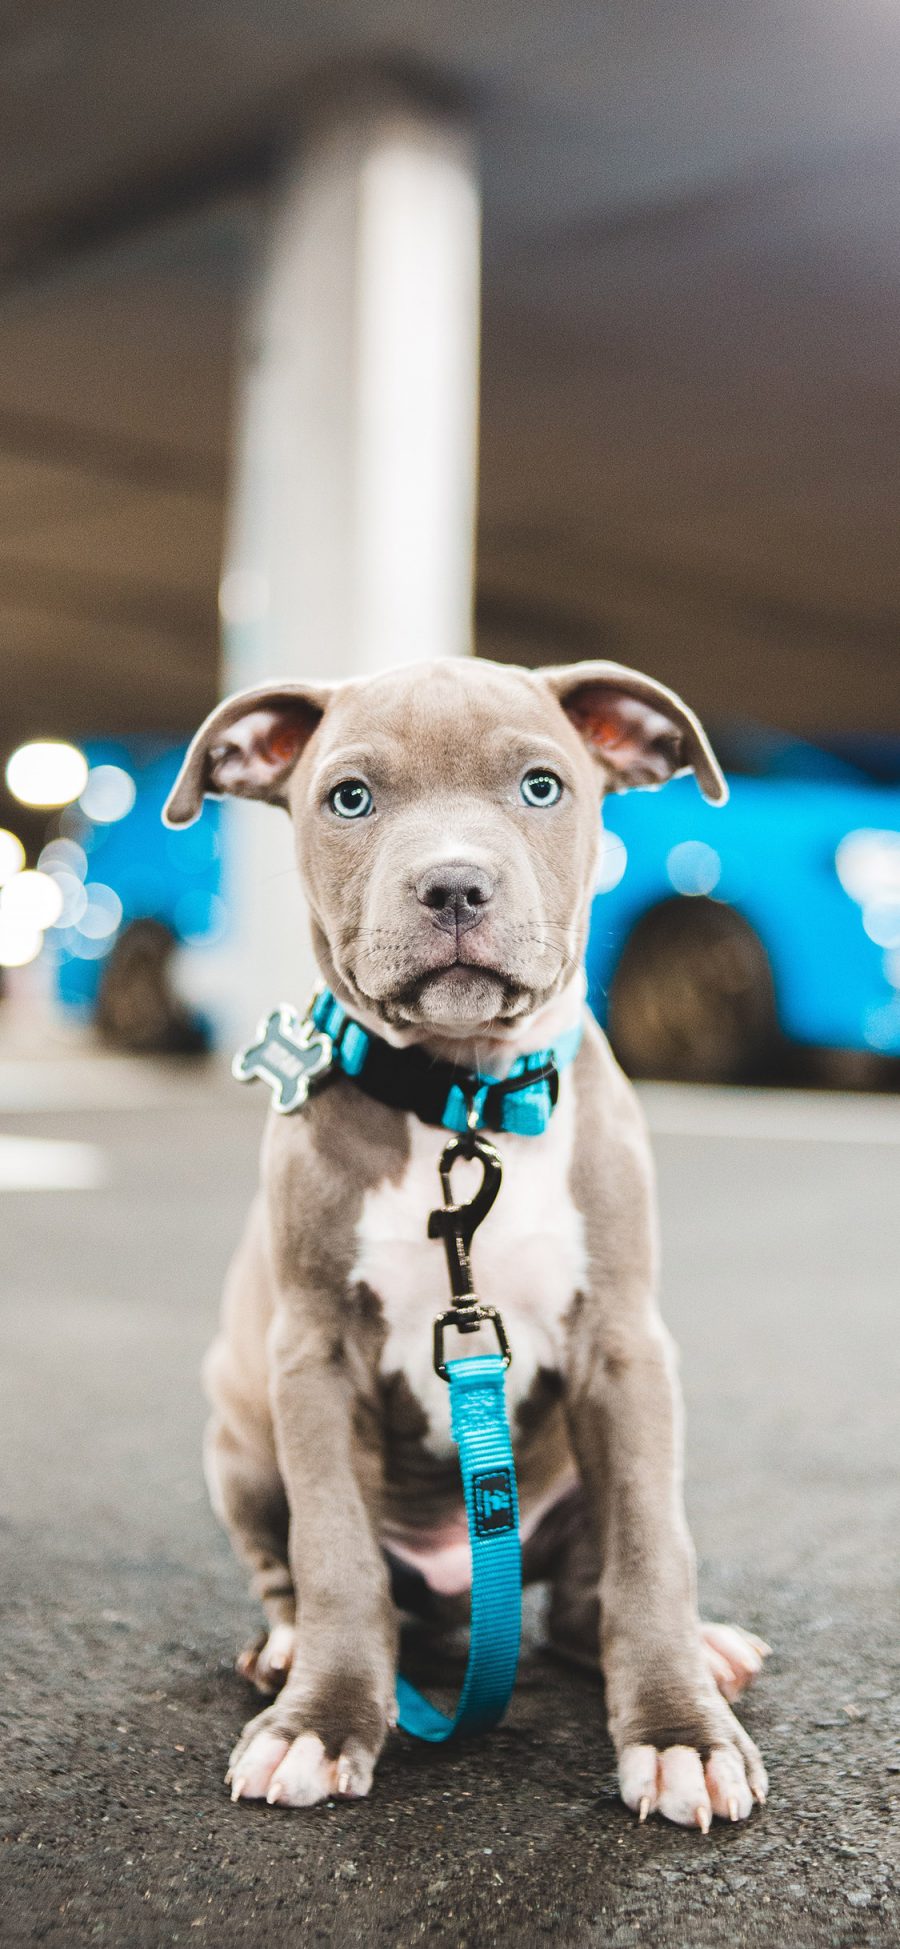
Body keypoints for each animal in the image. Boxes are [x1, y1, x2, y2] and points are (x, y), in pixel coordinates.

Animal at [165, 658, 771, 1824]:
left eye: (541, 787)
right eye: (350, 797)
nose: (453, 885)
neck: (463, 1099)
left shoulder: (624, 1347)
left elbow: (649, 1551)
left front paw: (679, 1733)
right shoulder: (312, 1357)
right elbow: (337, 1553)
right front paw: (321, 1721)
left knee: (590, 1597)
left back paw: (700, 1649)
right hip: (237, 1434)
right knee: (295, 1565)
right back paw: (287, 1648)